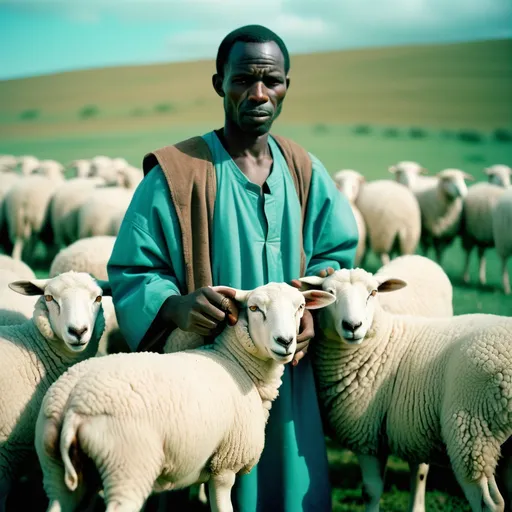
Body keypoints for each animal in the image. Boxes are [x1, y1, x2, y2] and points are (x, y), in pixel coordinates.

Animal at [34, 282, 334, 510]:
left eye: (300, 308)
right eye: (254, 308)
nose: (286, 342)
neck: (236, 363)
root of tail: (73, 404)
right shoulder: (225, 464)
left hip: (58, 468)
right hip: (127, 463)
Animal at [300, 268, 512, 512]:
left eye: (373, 292)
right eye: (330, 293)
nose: (352, 326)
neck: (381, 344)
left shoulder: (366, 437)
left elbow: (370, 492)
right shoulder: (413, 428)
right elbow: (418, 472)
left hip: (472, 433)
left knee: (490, 503)